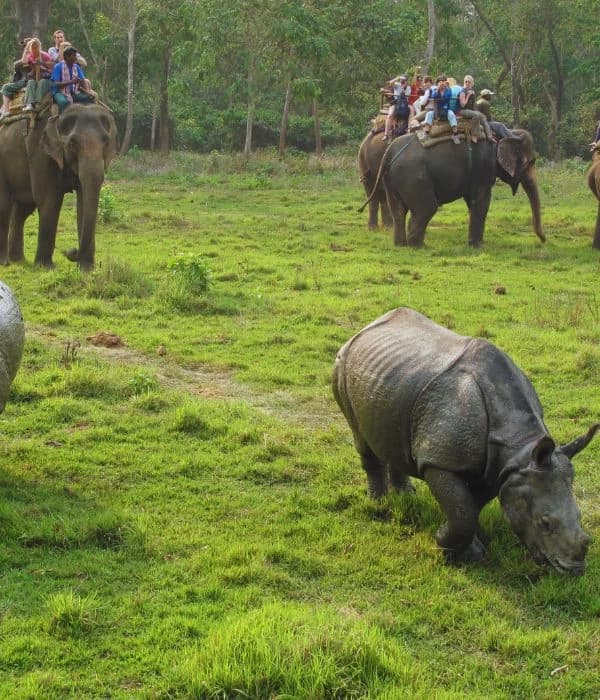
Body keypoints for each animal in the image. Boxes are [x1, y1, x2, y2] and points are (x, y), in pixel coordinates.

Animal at [0, 104, 118, 270]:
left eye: (106, 142)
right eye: (72, 144)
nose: (72, 252)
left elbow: (83, 202)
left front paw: (86, 269)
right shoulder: (40, 151)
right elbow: (50, 201)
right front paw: (45, 268)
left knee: (23, 209)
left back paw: (19, 261)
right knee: (4, 205)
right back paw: (5, 262)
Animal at [332, 308, 596, 572]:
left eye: (580, 517)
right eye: (545, 523)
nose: (574, 570)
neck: (519, 447)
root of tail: (363, 329)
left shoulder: (499, 468)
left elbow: (472, 505)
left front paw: (474, 543)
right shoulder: (440, 460)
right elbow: (462, 512)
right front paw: (452, 547)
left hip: (393, 380)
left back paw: (406, 496)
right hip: (342, 365)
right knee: (360, 436)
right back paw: (379, 504)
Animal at [358, 130, 548, 247]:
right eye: (531, 162)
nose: (543, 240)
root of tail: (389, 153)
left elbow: (472, 202)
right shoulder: (482, 170)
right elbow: (481, 202)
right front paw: (478, 246)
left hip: (393, 179)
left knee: (398, 210)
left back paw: (401, 245)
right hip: (413, 176)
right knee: (427, 208)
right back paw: (419, 246)